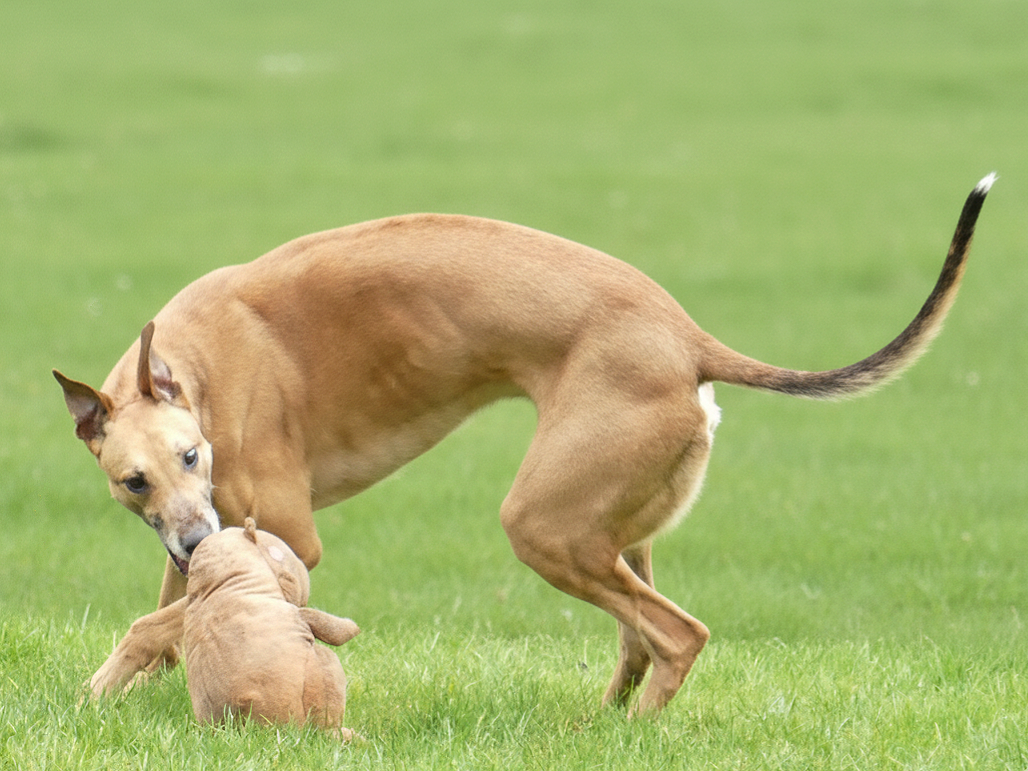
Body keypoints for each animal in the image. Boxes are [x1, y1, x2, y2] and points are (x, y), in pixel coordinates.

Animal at [56, 175, 994, 714]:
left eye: (191, 455)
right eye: (133, 481)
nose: (192, 538)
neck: (197, 363)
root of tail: (686, 335)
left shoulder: (287, 535)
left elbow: (157, 620)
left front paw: (105, 685)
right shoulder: (208, 541)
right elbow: (172, 611)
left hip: (546, 524)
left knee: (678, 633)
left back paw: (632, 731)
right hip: (613, 526)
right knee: (641, 632)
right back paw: (605, 718)